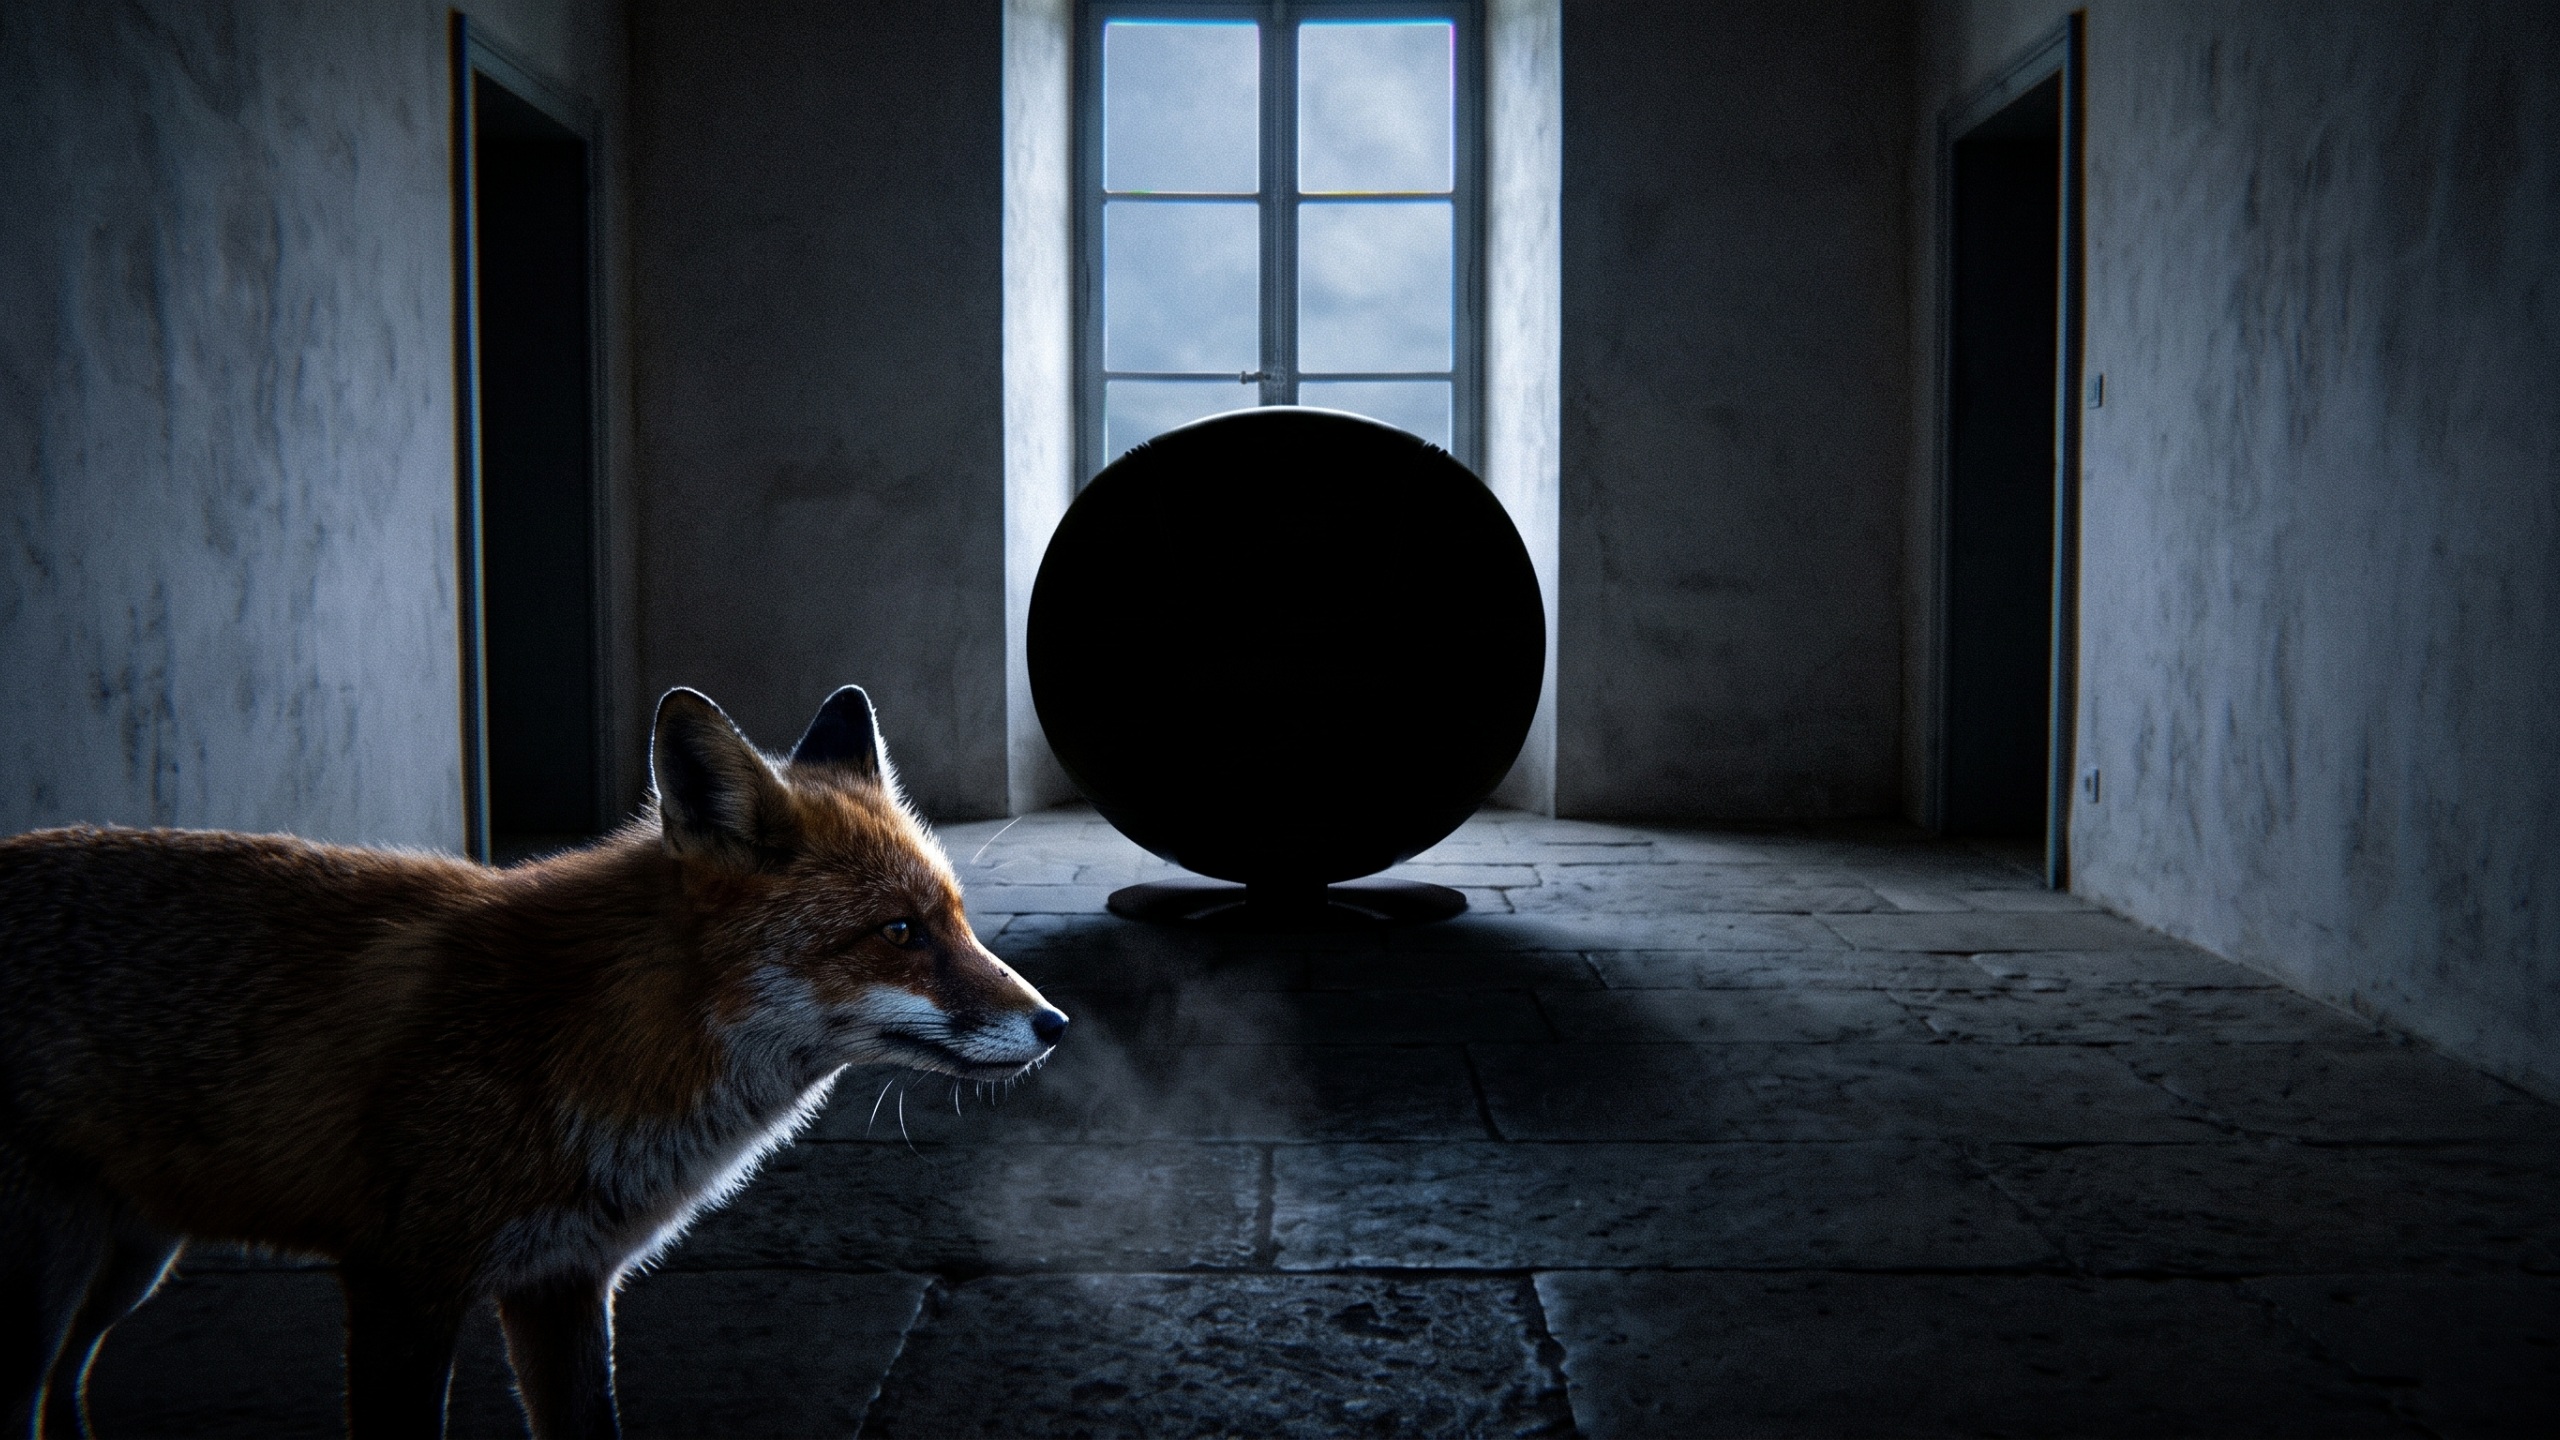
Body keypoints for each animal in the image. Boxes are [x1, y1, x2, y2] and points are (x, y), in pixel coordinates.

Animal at [0, 684, 1066, 1440]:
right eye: (899, 932)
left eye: (959, 920)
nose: (1054, 1022)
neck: (591, 1037)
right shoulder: (402, 1284)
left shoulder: (563, 1284)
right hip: (52, 1279)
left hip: (128, 1261)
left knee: (60, 1392)